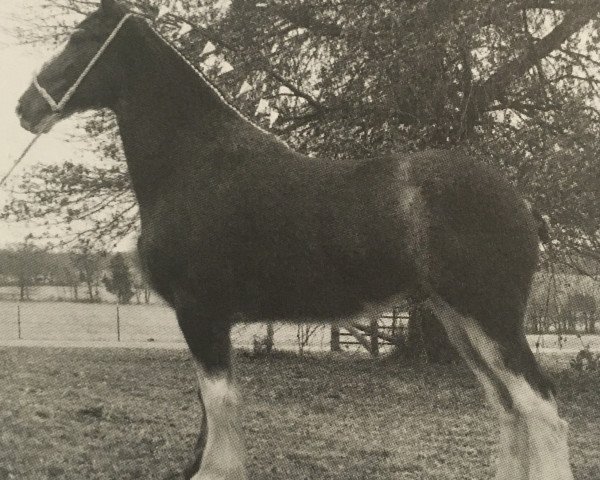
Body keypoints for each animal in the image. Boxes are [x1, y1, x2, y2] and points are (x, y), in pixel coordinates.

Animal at [16, 0, 576, 480]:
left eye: (81, 38)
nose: (25, 107)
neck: (195, 163)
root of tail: (523, 204)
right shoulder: (204, 320)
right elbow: (208, 404)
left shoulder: (200, 312)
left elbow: (219, 403)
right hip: (461, 322)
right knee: (510, 408)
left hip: (489, 318)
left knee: (540, 407)